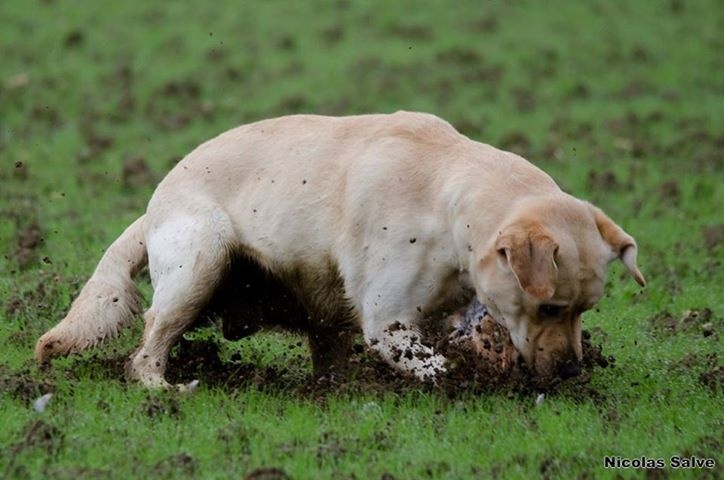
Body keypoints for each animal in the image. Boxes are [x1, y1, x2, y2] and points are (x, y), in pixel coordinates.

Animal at [35, 111, 644, 386]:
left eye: (585, 310)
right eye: (549, 307)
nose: (571, 372)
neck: (448, 200)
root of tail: (153, 205)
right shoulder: (387, 322)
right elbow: (435, 365)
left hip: (318, 308)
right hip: (202, 260)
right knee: (145, 349)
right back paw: (166, 389)